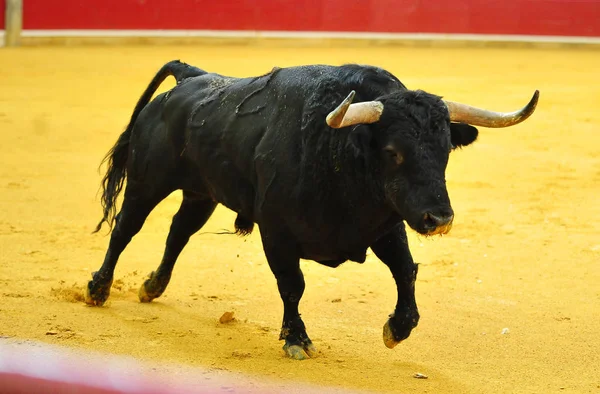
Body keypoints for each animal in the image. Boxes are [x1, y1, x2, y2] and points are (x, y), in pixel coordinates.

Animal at [85, 60, 540, 358]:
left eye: (446, 149)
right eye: (393, 152)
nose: (439, 219)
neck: (338, 151)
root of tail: (190, 78)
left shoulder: (385, 225)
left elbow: (405, 271)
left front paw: (397, 328)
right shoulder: (277, 233)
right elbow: (293, 284)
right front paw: (296, 339)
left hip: (202, 193)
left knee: (179, 231)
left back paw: (152, 286)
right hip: (147, 183)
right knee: (125, 229)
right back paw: (98, 289)